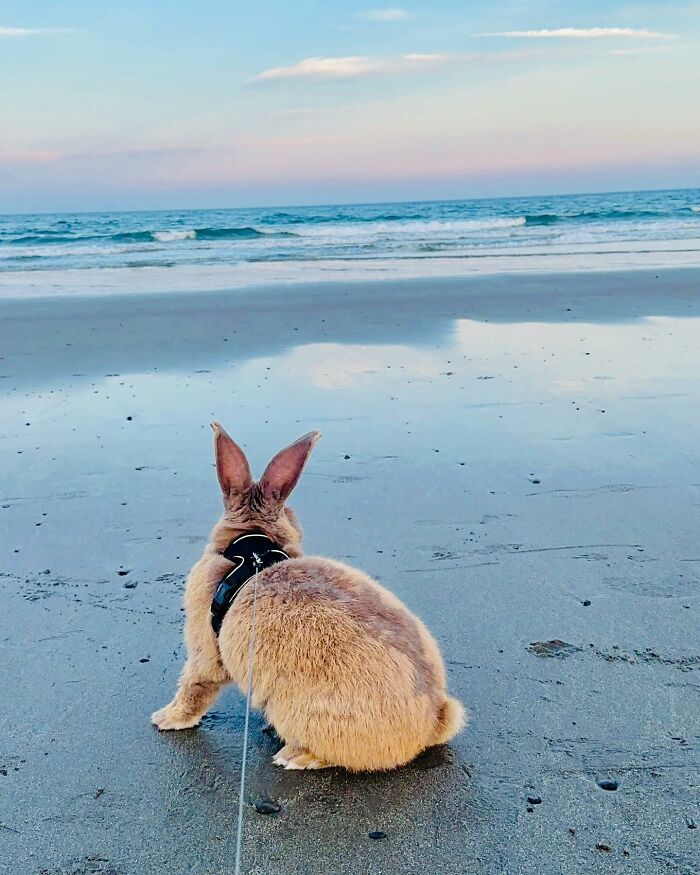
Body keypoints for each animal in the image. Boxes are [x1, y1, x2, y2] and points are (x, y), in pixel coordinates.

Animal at [151, 422, 466, 771]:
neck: (249, 546)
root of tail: (432, 722)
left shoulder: (205, 653)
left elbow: (195, 688)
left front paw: (166, 718)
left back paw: (296, 757)